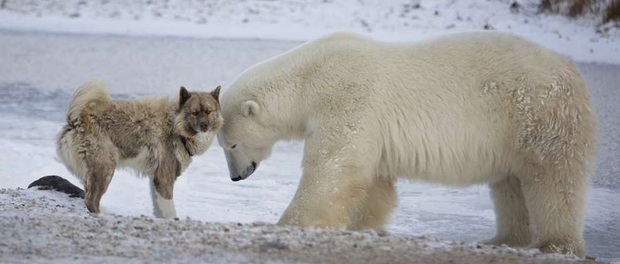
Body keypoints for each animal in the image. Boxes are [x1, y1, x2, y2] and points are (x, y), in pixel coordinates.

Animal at [57, 79, 223, 219]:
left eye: (209, 111)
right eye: (194, 113)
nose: (204, 126)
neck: (175, 124)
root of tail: (76, 120)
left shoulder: (155, 179)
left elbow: (159, 208)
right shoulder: (164, 178)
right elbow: (169, 210)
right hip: (104, 168)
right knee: (91, 200)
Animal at [218, 30, 596, 256]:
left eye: (231, 145)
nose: (236, 177)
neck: (310, 78)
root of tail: (571, 69)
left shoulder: (348, 97)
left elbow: (333, 167)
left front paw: (288, 222)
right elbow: (373, 182)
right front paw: (363, 226)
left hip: (536, 115)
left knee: (552, 181)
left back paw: (555, 244)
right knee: (510, 186)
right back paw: (502, 239)